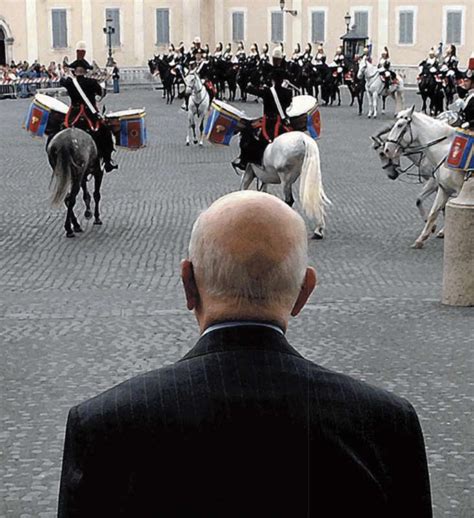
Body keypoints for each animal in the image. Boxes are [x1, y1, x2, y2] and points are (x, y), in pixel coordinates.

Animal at [384, 104, 464, 249]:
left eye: (400, 125)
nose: (387, 149)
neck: (446, 152)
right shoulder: (443, 188)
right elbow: (434, 211)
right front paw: (422, 238)